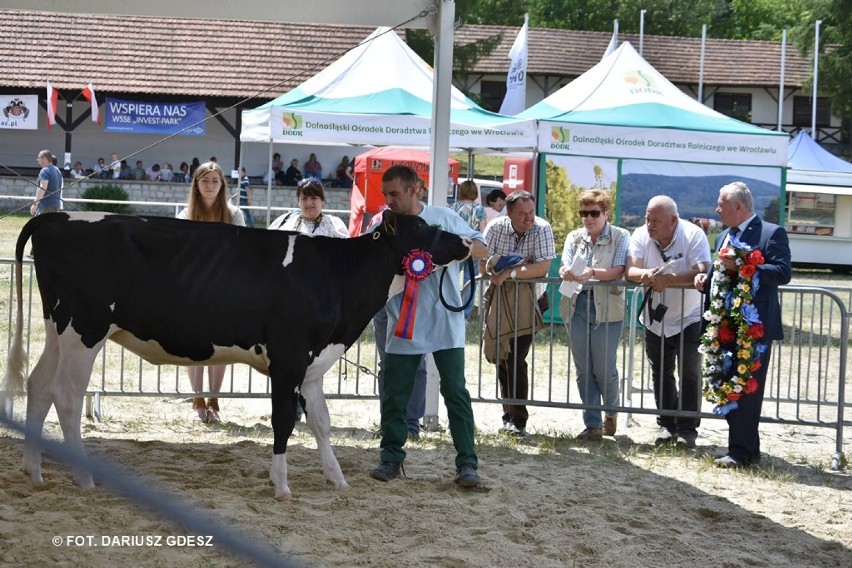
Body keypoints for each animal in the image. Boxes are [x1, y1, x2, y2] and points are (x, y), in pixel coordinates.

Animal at [0, 211, 470, 500]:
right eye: (421, 226)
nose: (466, 242)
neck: (336, 277)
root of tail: (57, 217)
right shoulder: (288, 355)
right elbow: (284, 421)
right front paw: (282, 486)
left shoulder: (314, 363)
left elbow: (321, 422)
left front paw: (337, 480)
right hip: (85, 328)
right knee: (66, 395)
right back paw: (84, 479)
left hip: (59, 327)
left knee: (38, 386)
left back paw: (33, 472)